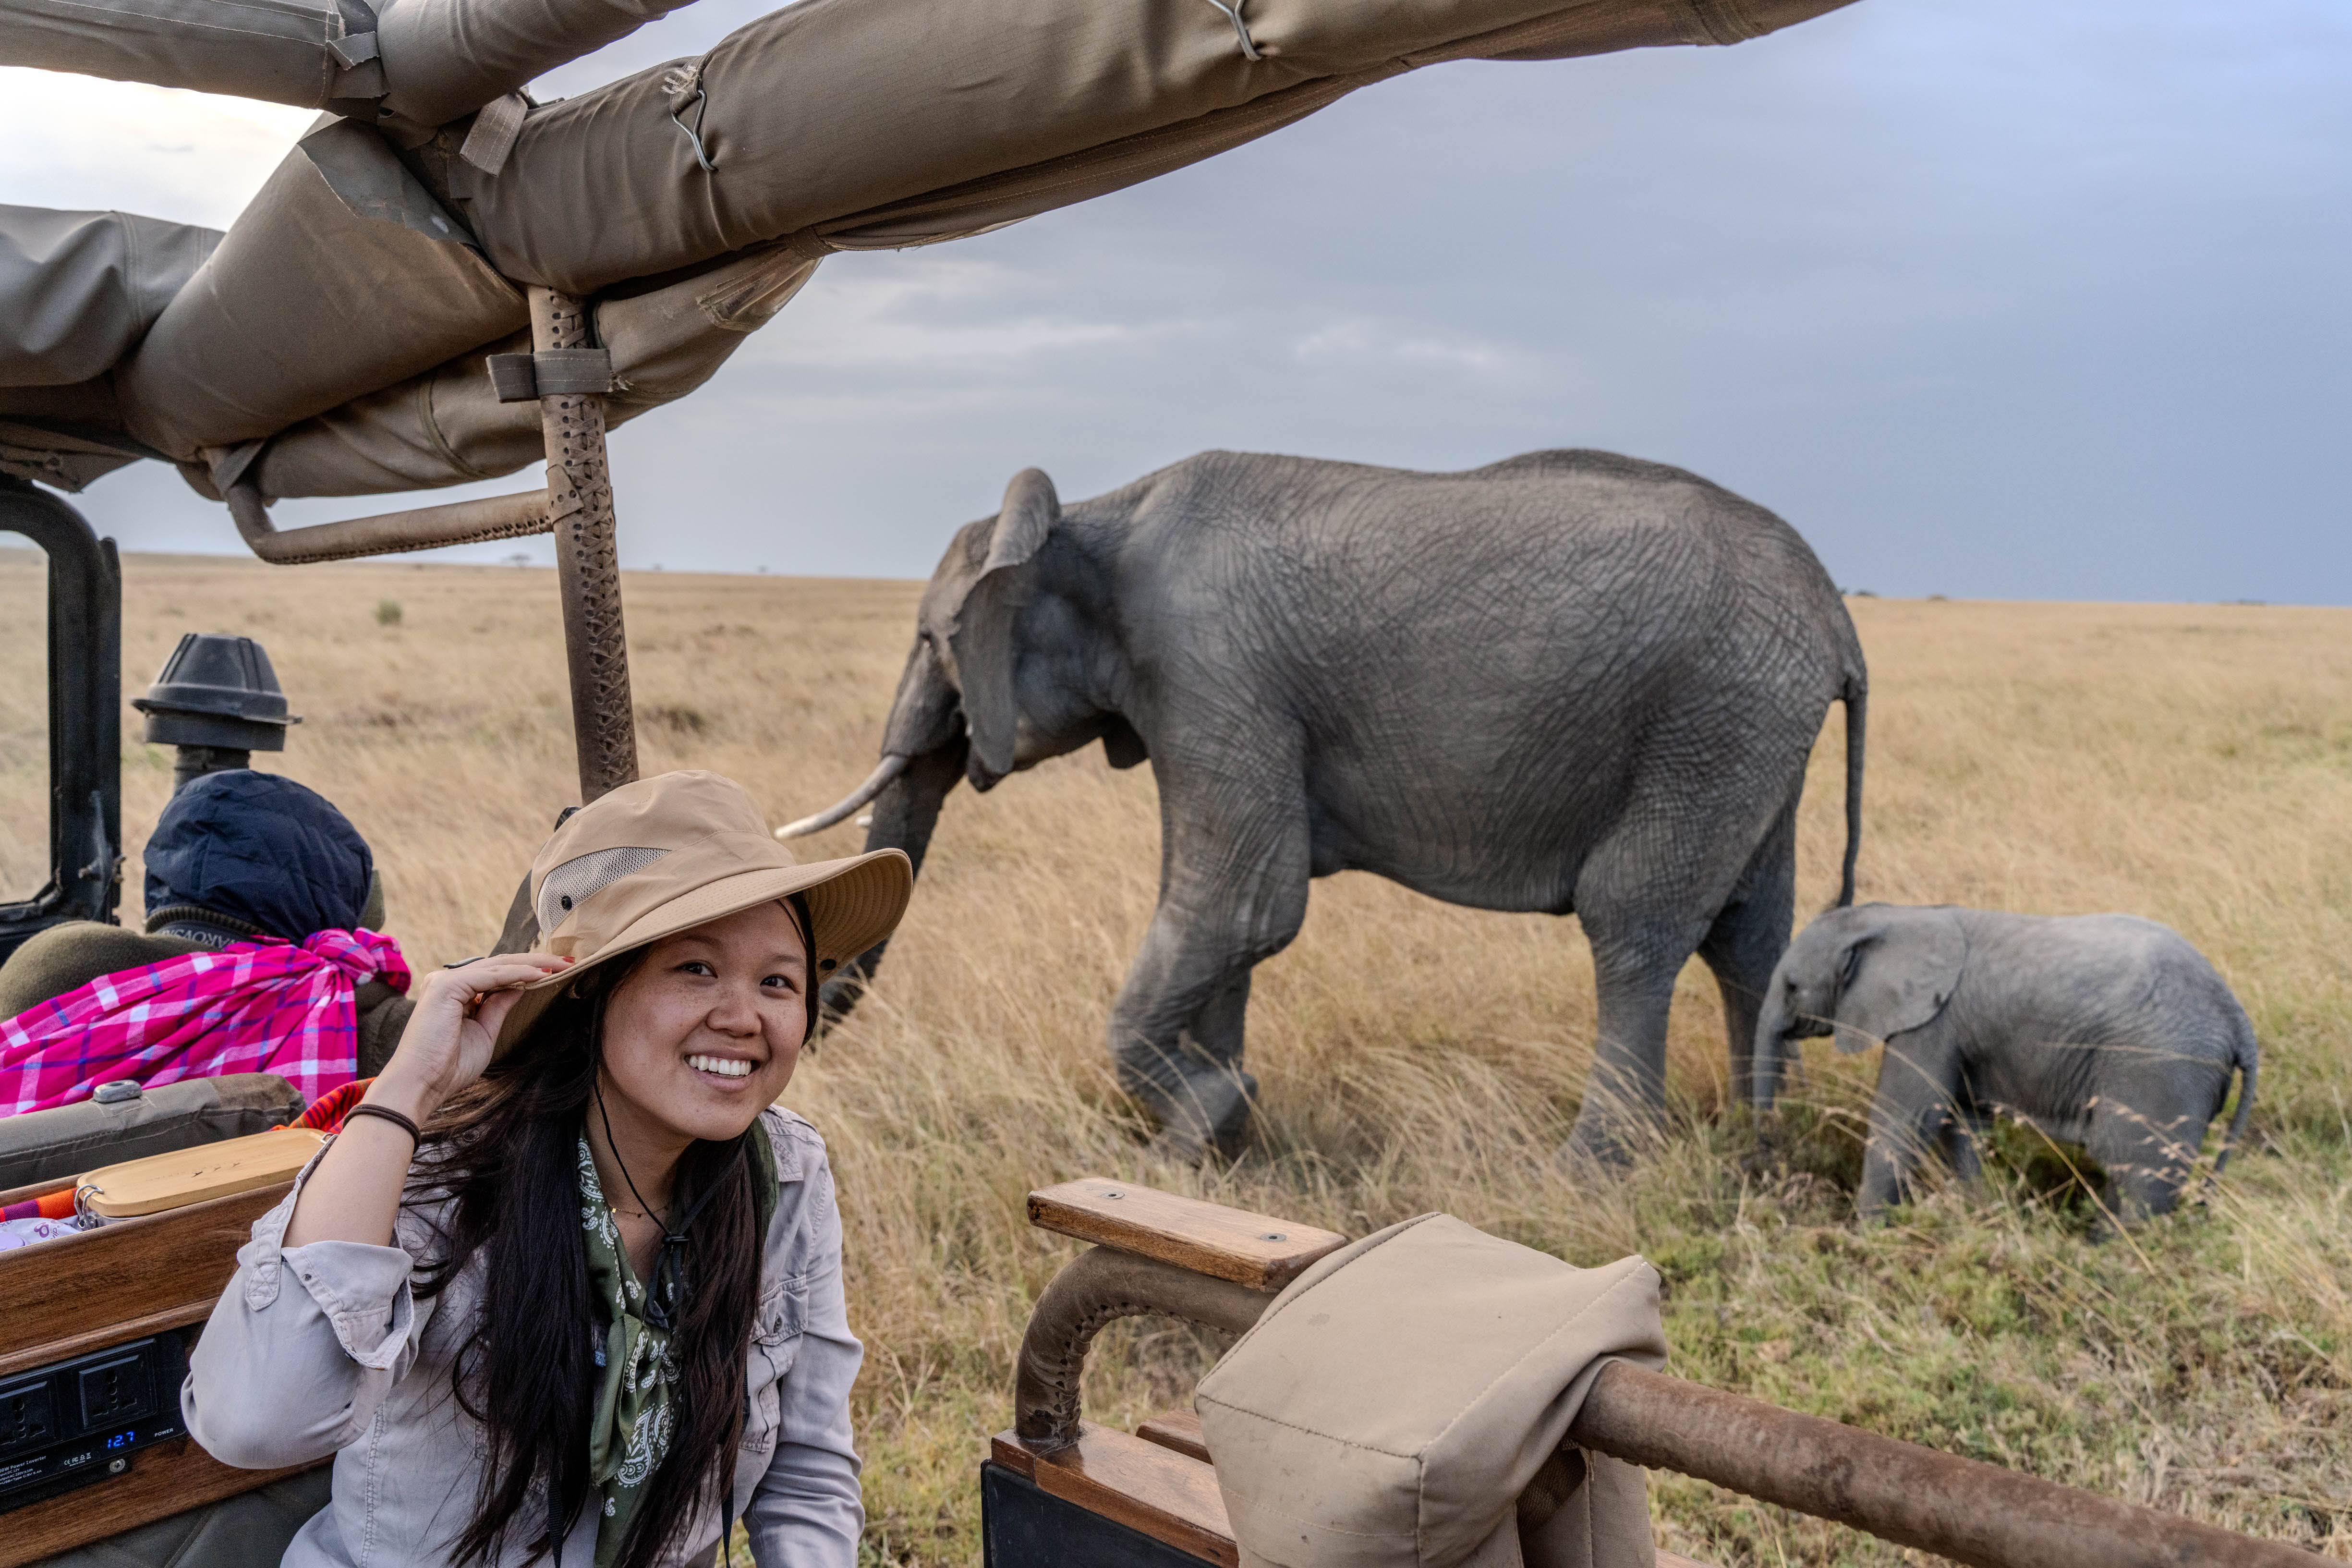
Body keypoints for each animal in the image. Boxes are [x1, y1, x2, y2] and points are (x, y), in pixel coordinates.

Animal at [786, 448, 1867, 1160]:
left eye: (932, 640)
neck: (1090, 514)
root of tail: (1834, 612)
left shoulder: (1210, 669)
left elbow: (1243, 904)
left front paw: (1205, 1123)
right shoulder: (1198, 697)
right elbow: (1212, 906)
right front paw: (1222, 1143)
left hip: (1710, 715)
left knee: (1633, 919)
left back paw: (1592, 1173)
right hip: (1749, 726)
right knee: (1751, 932)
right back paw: (1758, 1151)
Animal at [1752, 904, 2259, 1222]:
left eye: (1793, 986)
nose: (1771, 1165)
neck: (1897, 915)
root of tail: (2238, 1019)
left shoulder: (1932, 1022)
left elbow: (1905, 1120)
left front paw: (1865, 1238)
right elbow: (1964, 1124)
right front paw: (1980, 1215)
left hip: (2162, 1068)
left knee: (2139, 1175)